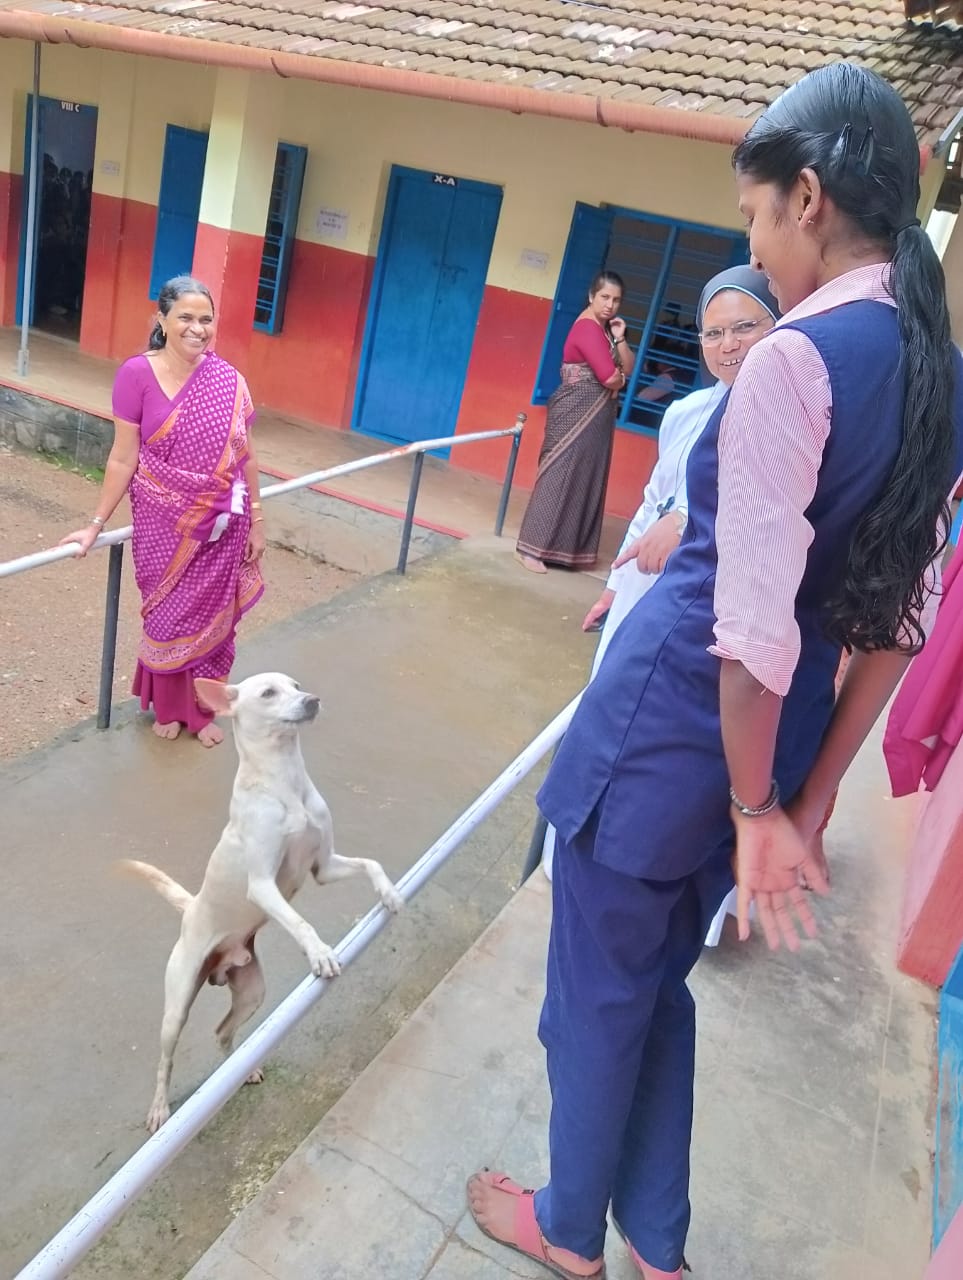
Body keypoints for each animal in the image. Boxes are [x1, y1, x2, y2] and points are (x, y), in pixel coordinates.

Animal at [120, 670, 402, 1131]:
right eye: (269, 693)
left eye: (296, 685)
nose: (313, 700)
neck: (283, 780)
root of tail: (191, 907)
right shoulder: (263, 885)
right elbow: (301, 922)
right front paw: (319, 953)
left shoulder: (323, 867)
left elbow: (371, 863)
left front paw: (390, 892)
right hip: (176, 1007)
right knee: (165, 1060)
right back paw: (160, 1108)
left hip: (252, 991)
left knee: (223, 1032)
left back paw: (242, 1069)